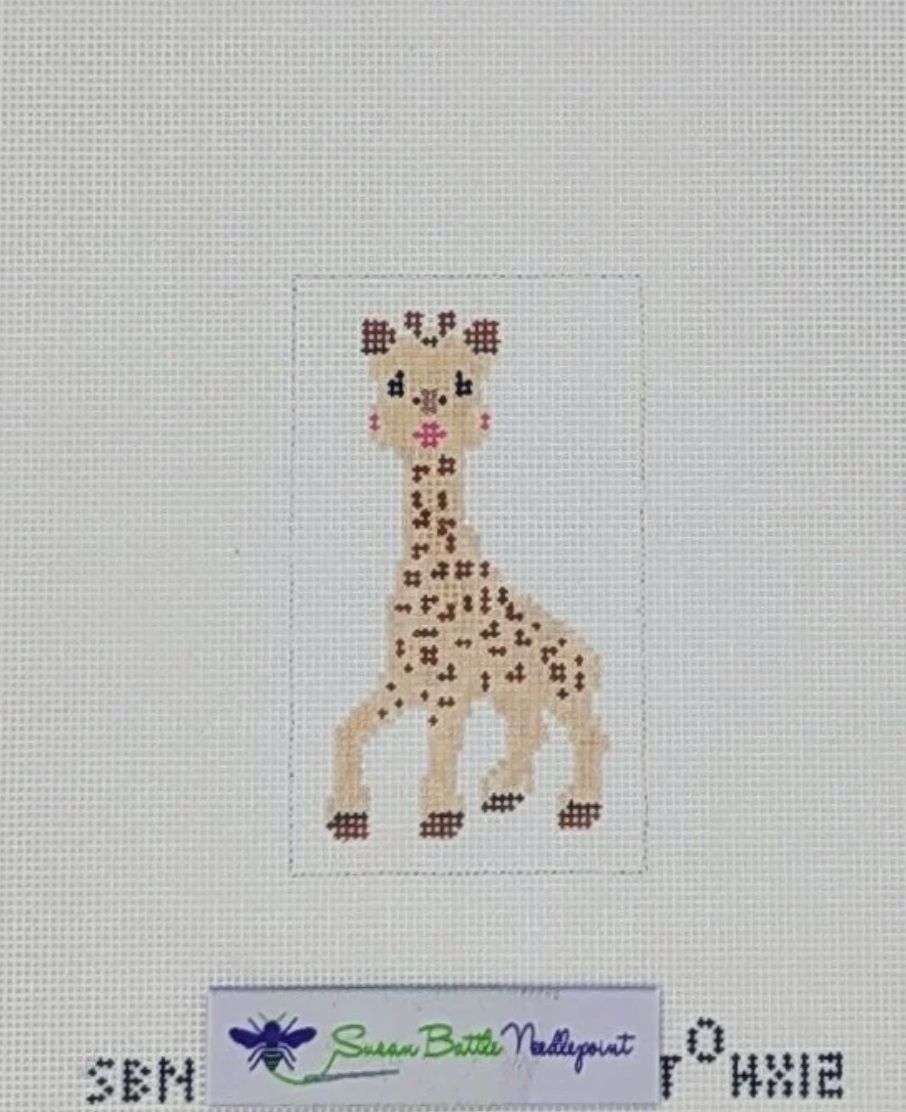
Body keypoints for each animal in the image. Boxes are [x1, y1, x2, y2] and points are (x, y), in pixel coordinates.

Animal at [325, 309, 608, 840]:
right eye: (394, 381)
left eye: (464, 382)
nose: (430, 403)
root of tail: (589, 655)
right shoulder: (404, 681)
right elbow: (350, 729)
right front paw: (349, 812)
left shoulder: (447, 689)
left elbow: (440, 750)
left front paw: (439, 815)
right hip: (514, 693)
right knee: (529, 730)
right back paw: (503, 791)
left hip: (562, 690)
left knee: (588, 733)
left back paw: (579, 805)